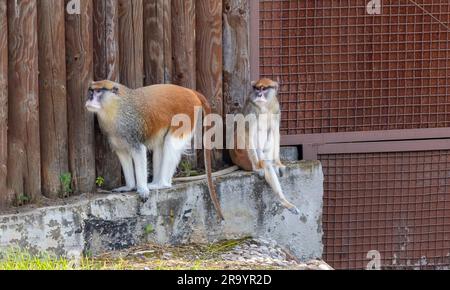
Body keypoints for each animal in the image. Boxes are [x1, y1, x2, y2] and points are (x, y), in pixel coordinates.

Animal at [85, 80, 224, 219]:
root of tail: (189, 91)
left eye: (98, 91)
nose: (89, 98)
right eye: (91, 91)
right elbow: (123, 154)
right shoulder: (114, 134)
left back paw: (161, 184)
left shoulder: (131, 130)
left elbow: (139, 151)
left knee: (170, 143)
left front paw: (142, 189)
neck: (116, 106)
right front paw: (129, 187)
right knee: (160, 145)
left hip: (185, 115)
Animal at [230, 78, 300, 214]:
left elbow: (275, 131)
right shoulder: (251, 108)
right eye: (257, 88)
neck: (265, 105)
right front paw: (258, 168)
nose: (258, 94)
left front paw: (278, 163)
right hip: (243, 157)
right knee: (263, 160)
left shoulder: (276, 108)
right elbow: (248, 133)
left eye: (264, 89)